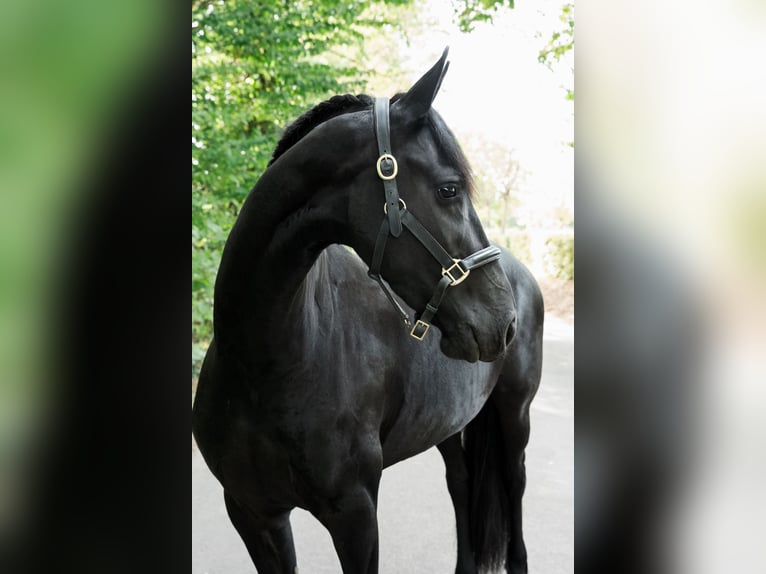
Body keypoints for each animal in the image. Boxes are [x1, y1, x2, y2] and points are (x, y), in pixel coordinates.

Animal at [192, 48, 544, 574]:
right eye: (449, 189)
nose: (503, 321)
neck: (264, 363)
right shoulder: (254, 514)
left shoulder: (356, 516)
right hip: (448, 423)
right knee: (461, 484)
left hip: (514, 417)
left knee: (514, 495)